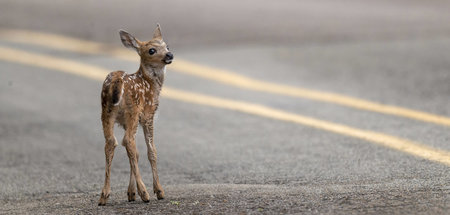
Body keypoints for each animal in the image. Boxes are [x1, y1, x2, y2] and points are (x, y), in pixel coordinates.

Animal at [97, 24, 173, 206]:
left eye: (167, 46)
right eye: (152, 50)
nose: (170, 55)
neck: (151, 85)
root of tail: (117, 81)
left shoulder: (126, 121)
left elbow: (135, 154)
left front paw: (131, 193)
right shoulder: (147, 115)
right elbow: (151, 152)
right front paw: (158, 190)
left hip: (106, 112)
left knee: (111, 142)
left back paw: (104, 195)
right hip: (132, 110)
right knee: (127, 141)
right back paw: (145, 193)